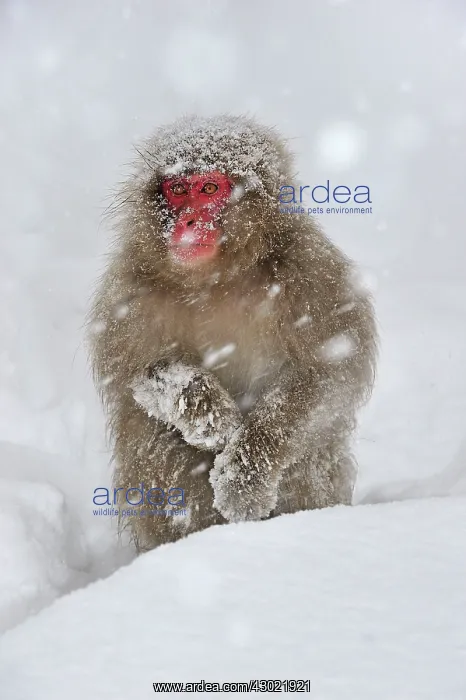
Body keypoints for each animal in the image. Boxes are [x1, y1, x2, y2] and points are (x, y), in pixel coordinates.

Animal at [88, 115, 377, 552]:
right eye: (178, 190)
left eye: (209, 188)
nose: (188, 222)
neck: (217, 279)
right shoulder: (130, 295)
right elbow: (136, 375)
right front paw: (209, 413)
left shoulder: (311, 275)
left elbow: (330, 373)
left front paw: (244, 476)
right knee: (153, 437)